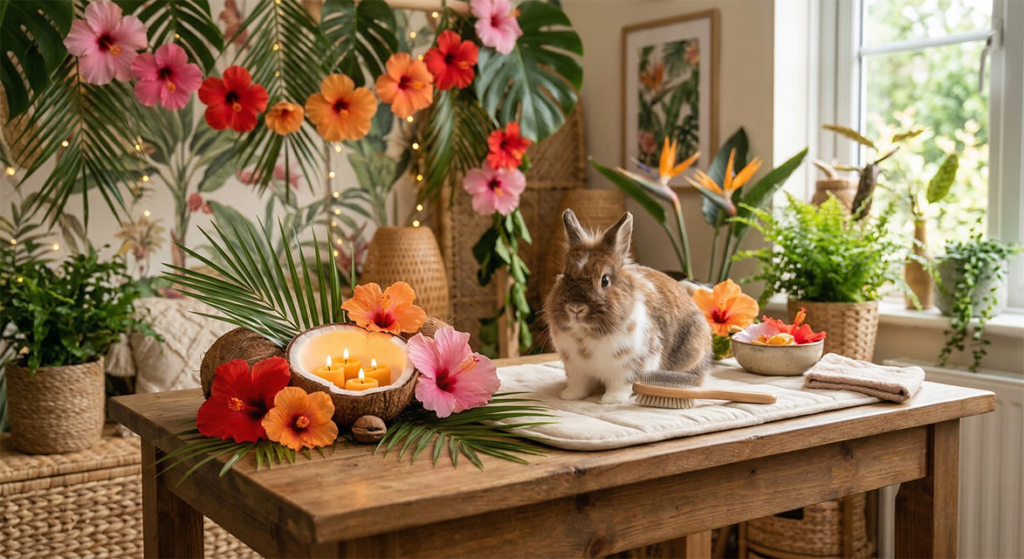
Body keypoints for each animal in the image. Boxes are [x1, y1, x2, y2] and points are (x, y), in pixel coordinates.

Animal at [544, 209, 713, 404]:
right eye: (565, 277)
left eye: (605, 280)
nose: (576, 308)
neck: (586, 335)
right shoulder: (576, 369)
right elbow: (578, 385)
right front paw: (569, 396)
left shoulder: (629, 366)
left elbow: (622, 385)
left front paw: (612, 400)